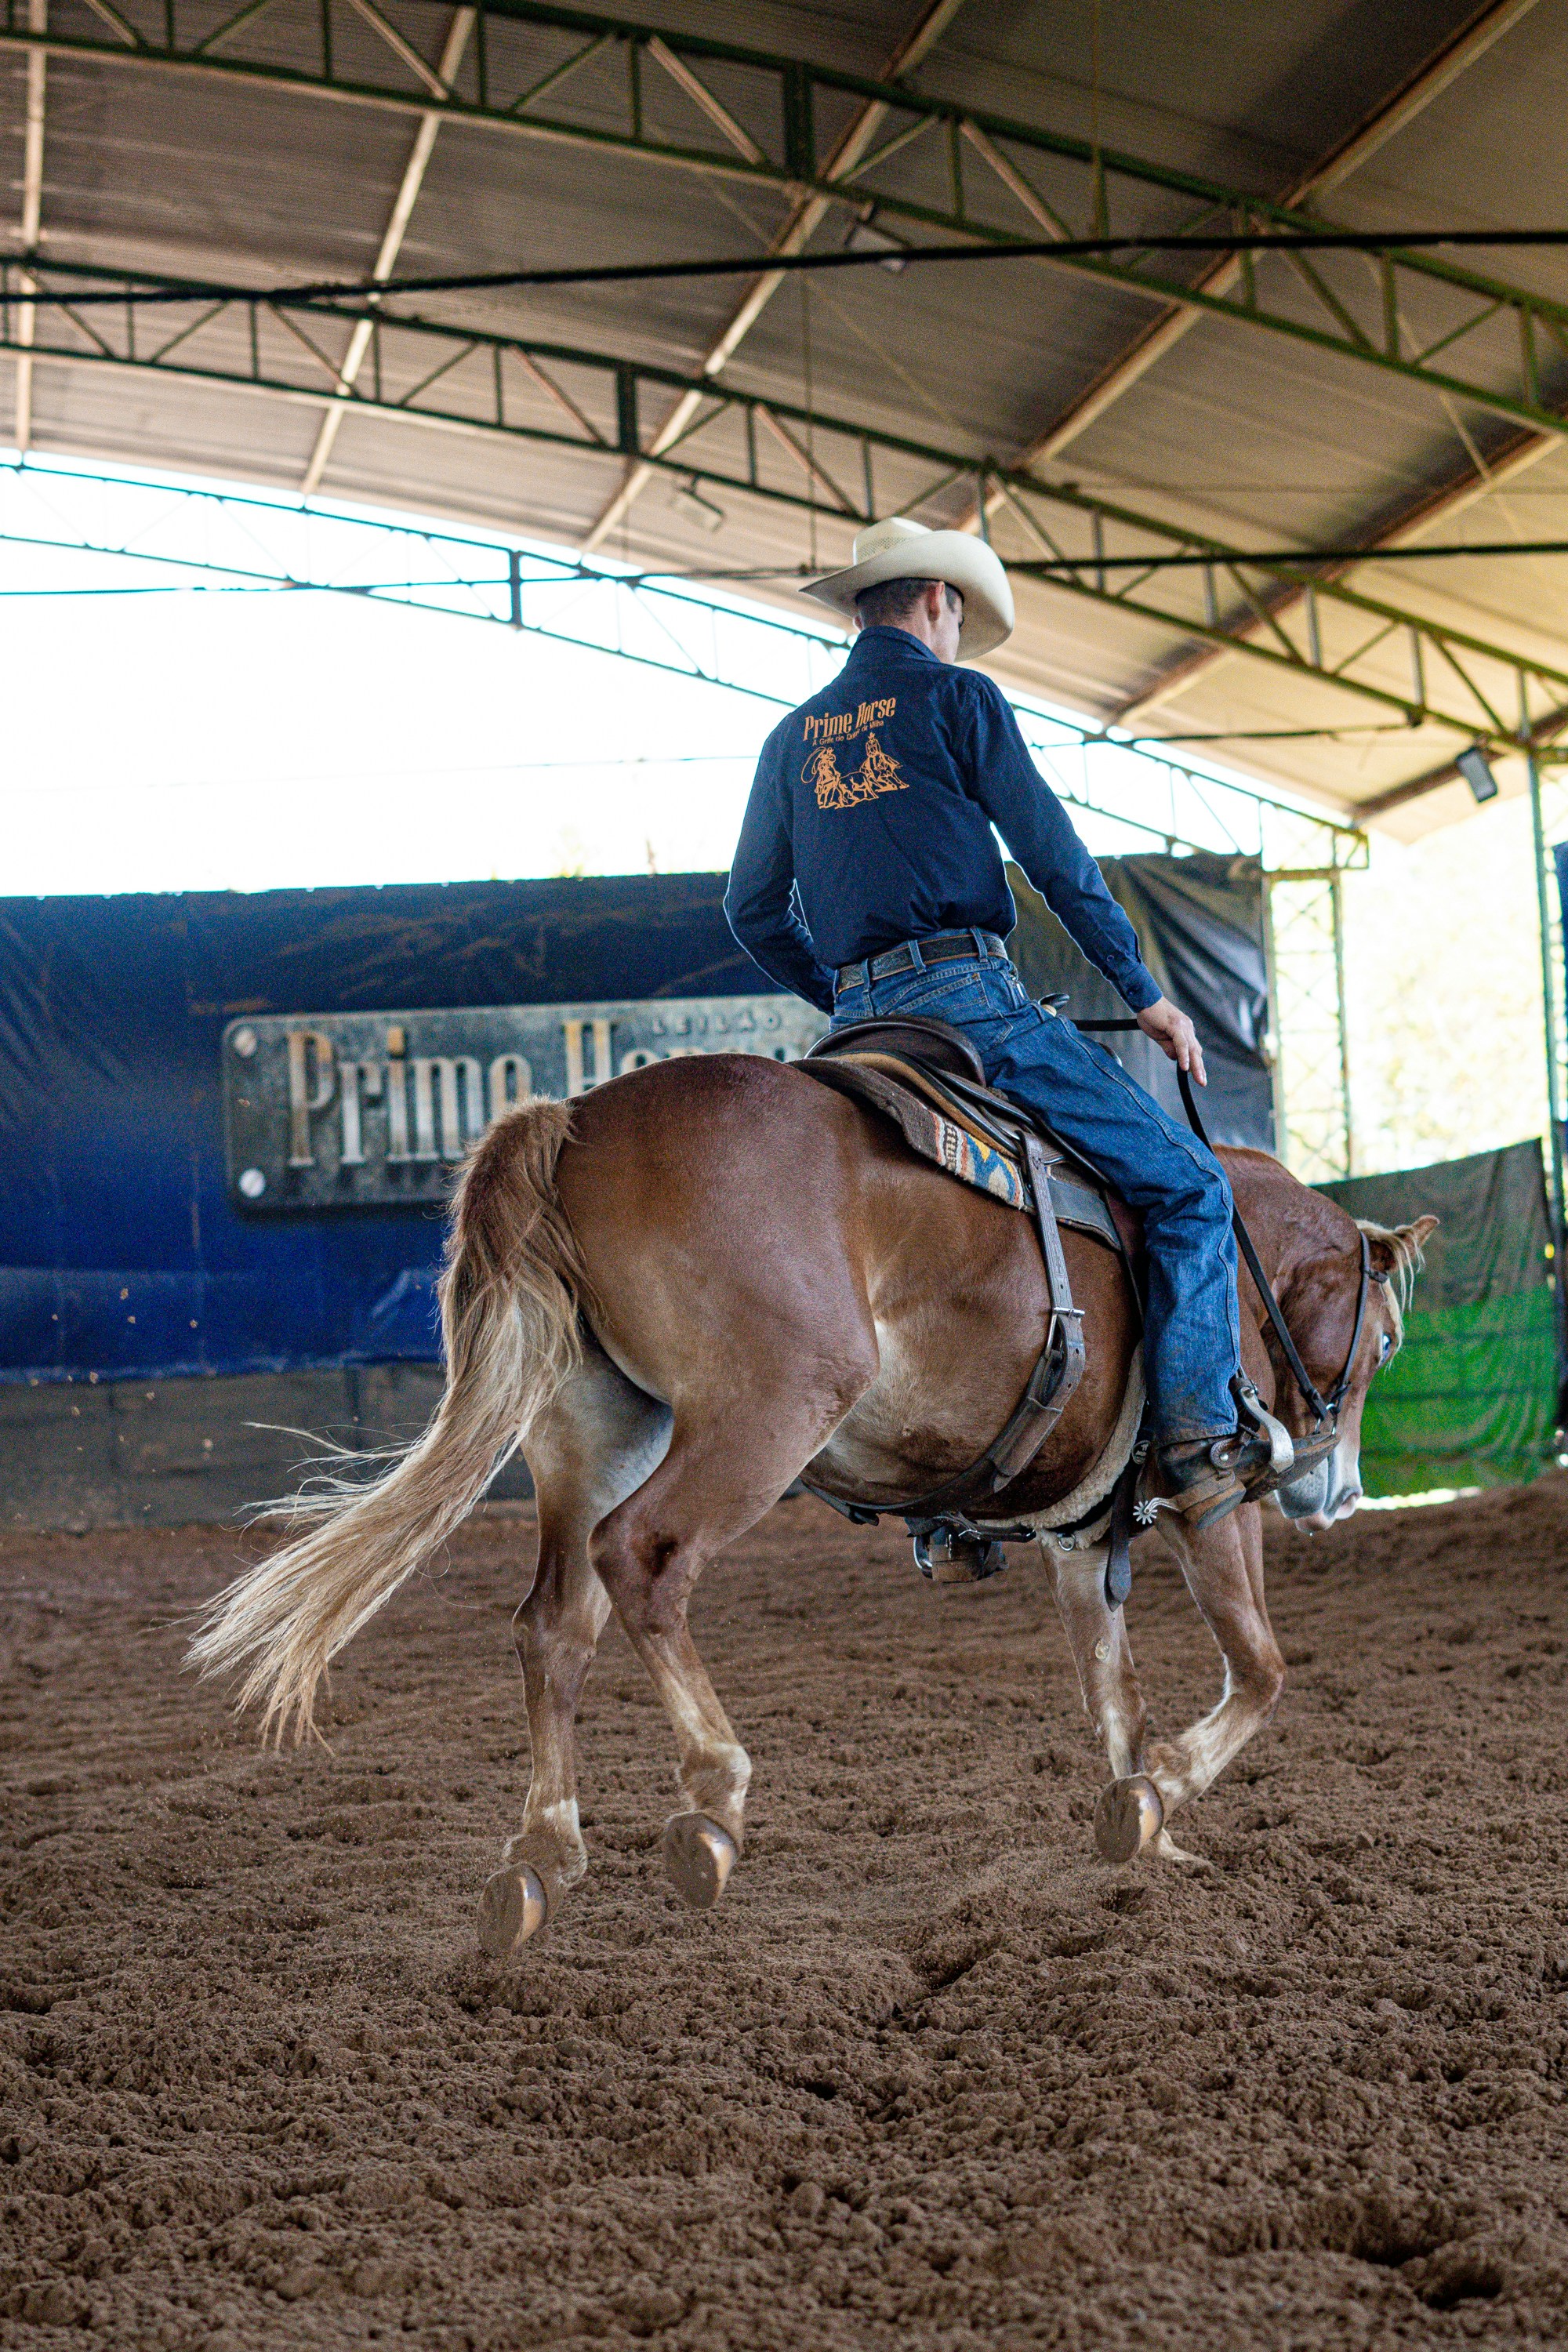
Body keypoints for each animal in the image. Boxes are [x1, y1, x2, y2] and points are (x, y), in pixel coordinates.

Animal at [190, 1053, 1434, 1956]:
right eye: (1384, 1342)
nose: (1336, 1491)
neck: (1234, 1258)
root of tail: (580, 1120)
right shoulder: (1212, 1491)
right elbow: (1259, 1667)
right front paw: (1168, 1790)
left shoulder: (1081, 1538)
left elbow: (1112, 1688)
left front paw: (1148, 1831)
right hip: (764, 1413)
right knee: (641, 1558)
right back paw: (712, 1800)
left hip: (593, 1432)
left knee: (553, 1622)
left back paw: (542, 1856)